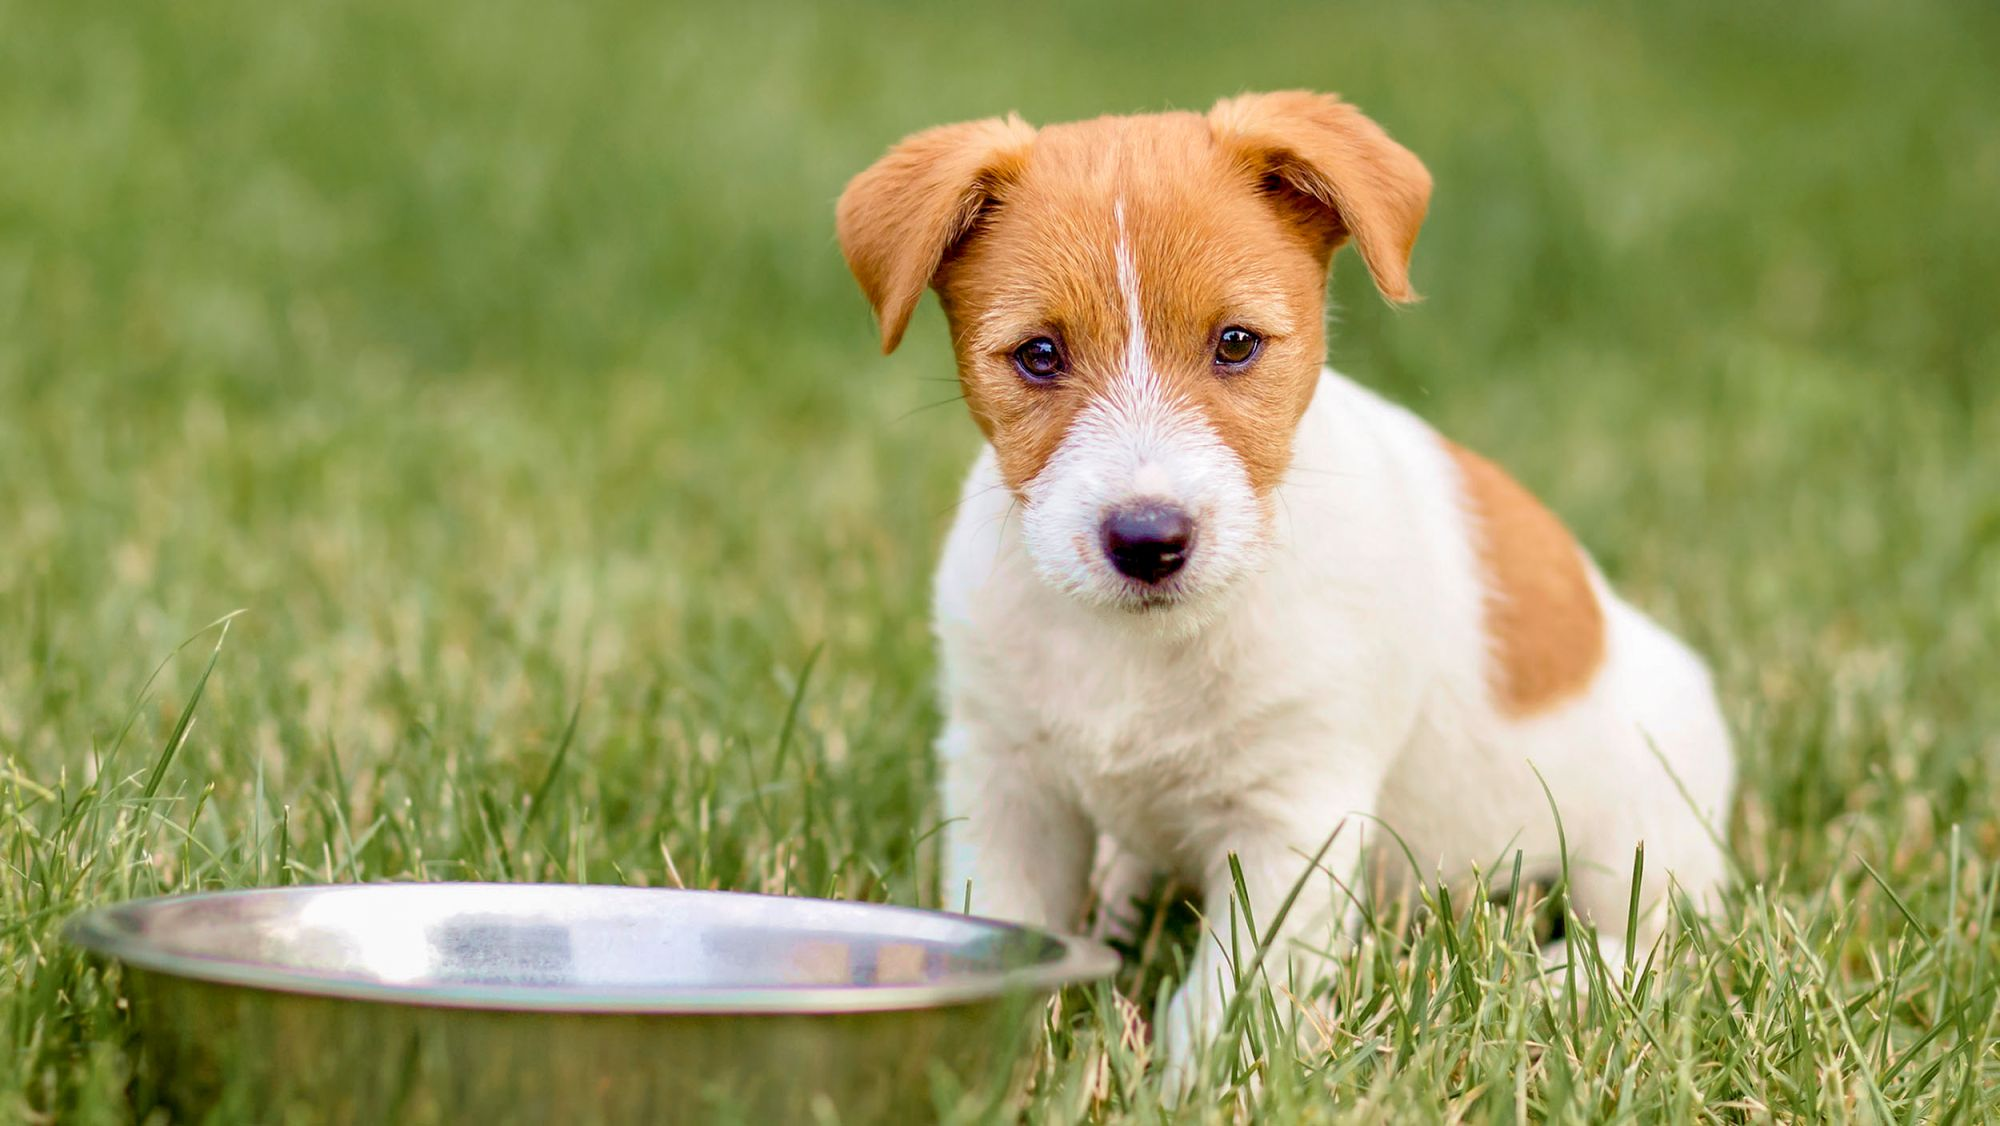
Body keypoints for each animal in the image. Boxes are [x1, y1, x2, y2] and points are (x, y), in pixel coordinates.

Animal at [832, 90, 1736, 1080]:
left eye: (1236, 344)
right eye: (1038, 354)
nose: (1148, 539)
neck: (1141, 647)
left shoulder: (1293, 820)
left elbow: (1227, 995)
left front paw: (1191, 1085)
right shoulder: (1007, 785)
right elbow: (1011, 922)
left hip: (1648, 828)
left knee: (1657, 938)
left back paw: (1558, 979)